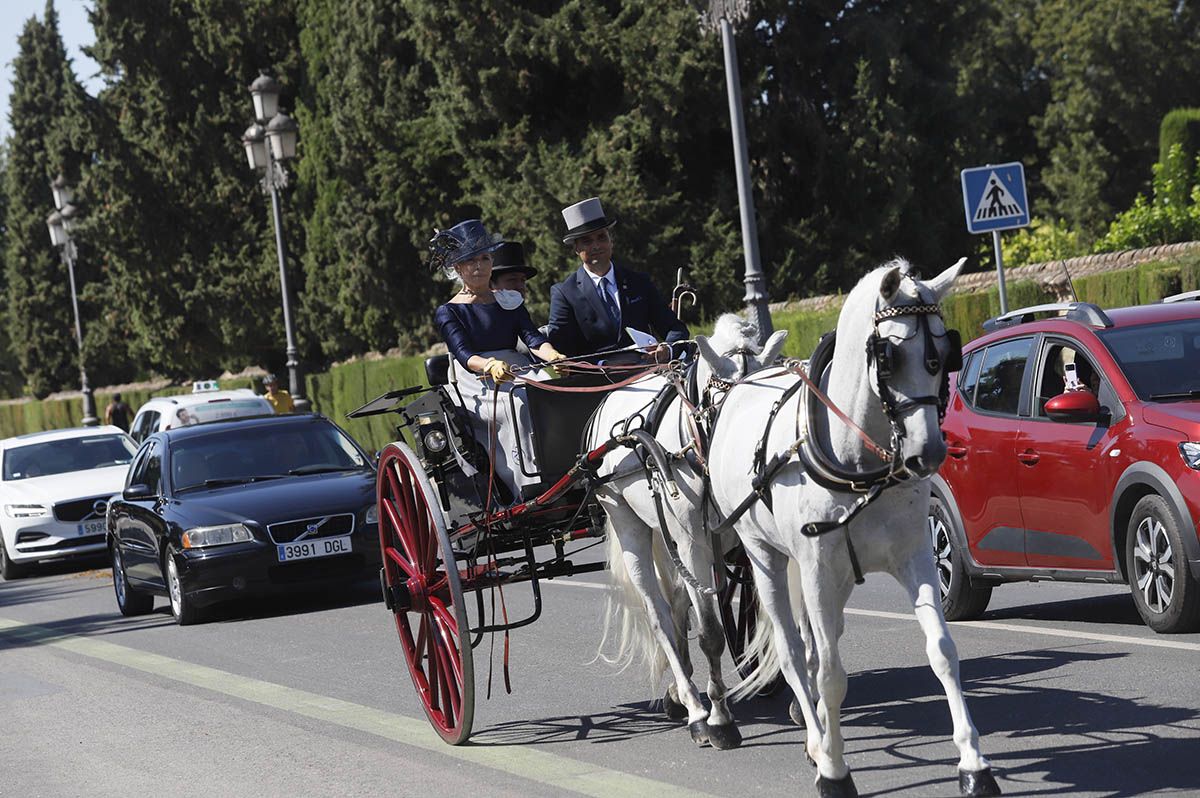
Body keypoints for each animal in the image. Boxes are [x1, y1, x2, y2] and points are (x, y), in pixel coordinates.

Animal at [588, 314, 787, 748]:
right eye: (723, 407)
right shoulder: (693, 543)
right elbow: (711, 632)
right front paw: (719, 720)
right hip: (628, 523)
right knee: (658, 612)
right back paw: (695, 708)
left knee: (678, 599)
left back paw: (681, 694)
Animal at [700, 261, 1003, 796]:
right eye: (889, 356)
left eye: (944, 352)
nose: (929, 453)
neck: (859, 463)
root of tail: (746, 381)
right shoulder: (817, 569)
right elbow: (829, 674)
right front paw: (834, 769)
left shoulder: (914, 558)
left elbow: (942, 652)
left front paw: (974, 764)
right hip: (765, 559)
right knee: (793, 651)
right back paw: (796, 734)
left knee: (815, 647)